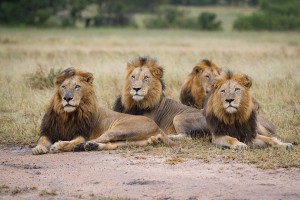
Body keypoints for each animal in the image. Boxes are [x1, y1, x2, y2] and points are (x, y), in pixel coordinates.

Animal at [31, 67, 173, 155]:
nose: (67, 98)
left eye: (77, 87)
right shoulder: (48, 131)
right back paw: (90, 147)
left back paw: (78, 146)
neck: (66, 115)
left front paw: (58, 145)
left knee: (98, 139)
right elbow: (42, 140)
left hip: (120, 129)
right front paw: (38, 148)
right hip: (132, 140)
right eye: (63, 87)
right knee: (111, 144)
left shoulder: (82, 133)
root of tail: (157, 127)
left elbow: (76, 140)